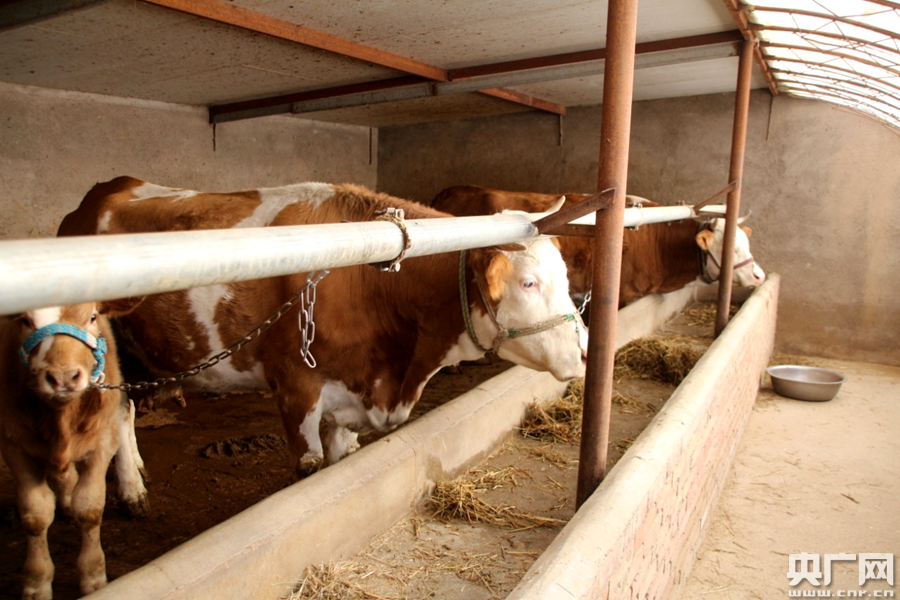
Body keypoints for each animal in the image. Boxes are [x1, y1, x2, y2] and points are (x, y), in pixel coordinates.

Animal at [0, 298, 149, 600]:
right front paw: (37, 584)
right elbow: (35, 515)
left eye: (91, 317)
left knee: (124, 410)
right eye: (26, 321)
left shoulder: (101, 442)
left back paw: (132, 486)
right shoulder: (13, 444)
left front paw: (94, 578)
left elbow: (90, 509)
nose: (63, 377)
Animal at [58, 177, 588, 476]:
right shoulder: (296, 389)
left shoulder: (350, 400)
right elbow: (309, 469)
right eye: (528, 282)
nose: (585, 354)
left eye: (564, 276)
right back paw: (132, 488)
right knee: (119, 409)